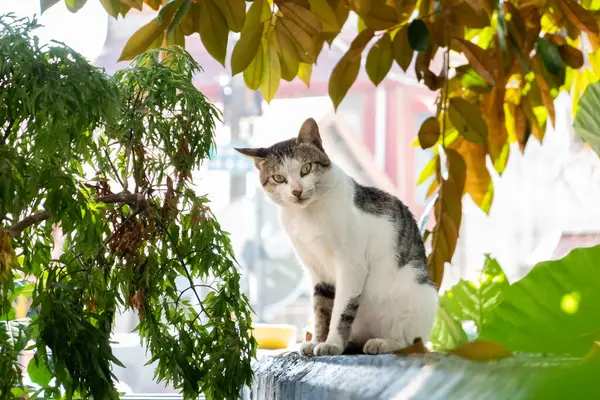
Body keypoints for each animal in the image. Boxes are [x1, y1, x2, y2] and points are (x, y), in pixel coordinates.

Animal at [237, 119, 438, 356]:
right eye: (279, 178)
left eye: (306, 169)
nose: (296, 190)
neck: (307, 216)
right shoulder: (318, 271)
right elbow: (321, 310)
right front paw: (318, 341)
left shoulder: (350, 267)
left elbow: (341, 311)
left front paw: (331, 343)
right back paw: (350, 343)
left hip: (418, 296)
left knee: (411, 341)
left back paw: (382, 343)